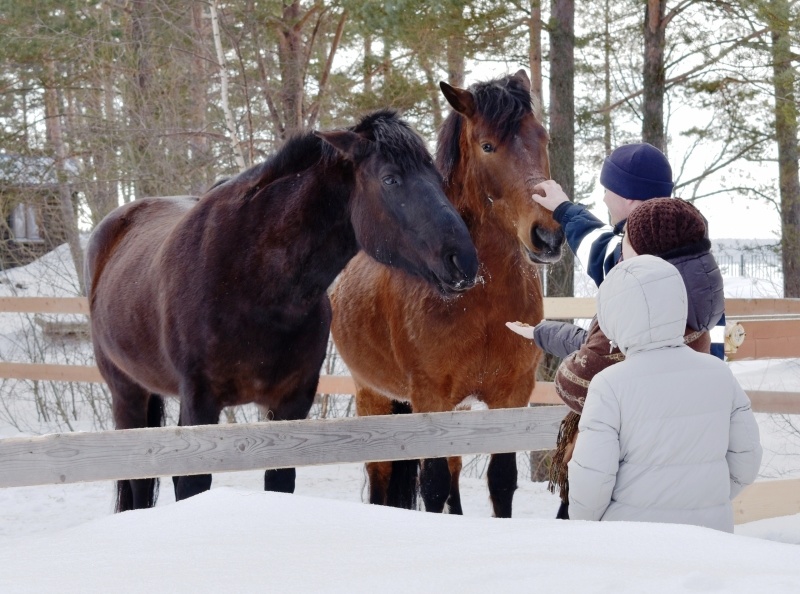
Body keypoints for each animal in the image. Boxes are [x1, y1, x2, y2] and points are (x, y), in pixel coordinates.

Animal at [84, 108, 478, 512]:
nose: (464, 260)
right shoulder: (199, 403)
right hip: (127, 393)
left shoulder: (290, 404)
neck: (248, 282)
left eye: (437, 179)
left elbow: (278, 482)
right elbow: (192, 483)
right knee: (137, 480)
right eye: (390, 178)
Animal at [330, 69, 564, 516]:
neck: (481, 297)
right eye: (487, 145)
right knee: (382, 472)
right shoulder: (430, 397)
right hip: (373, 395)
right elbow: (433, 484)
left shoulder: (511, 394)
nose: (547, 236)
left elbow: (500, 480)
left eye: (543, 137)